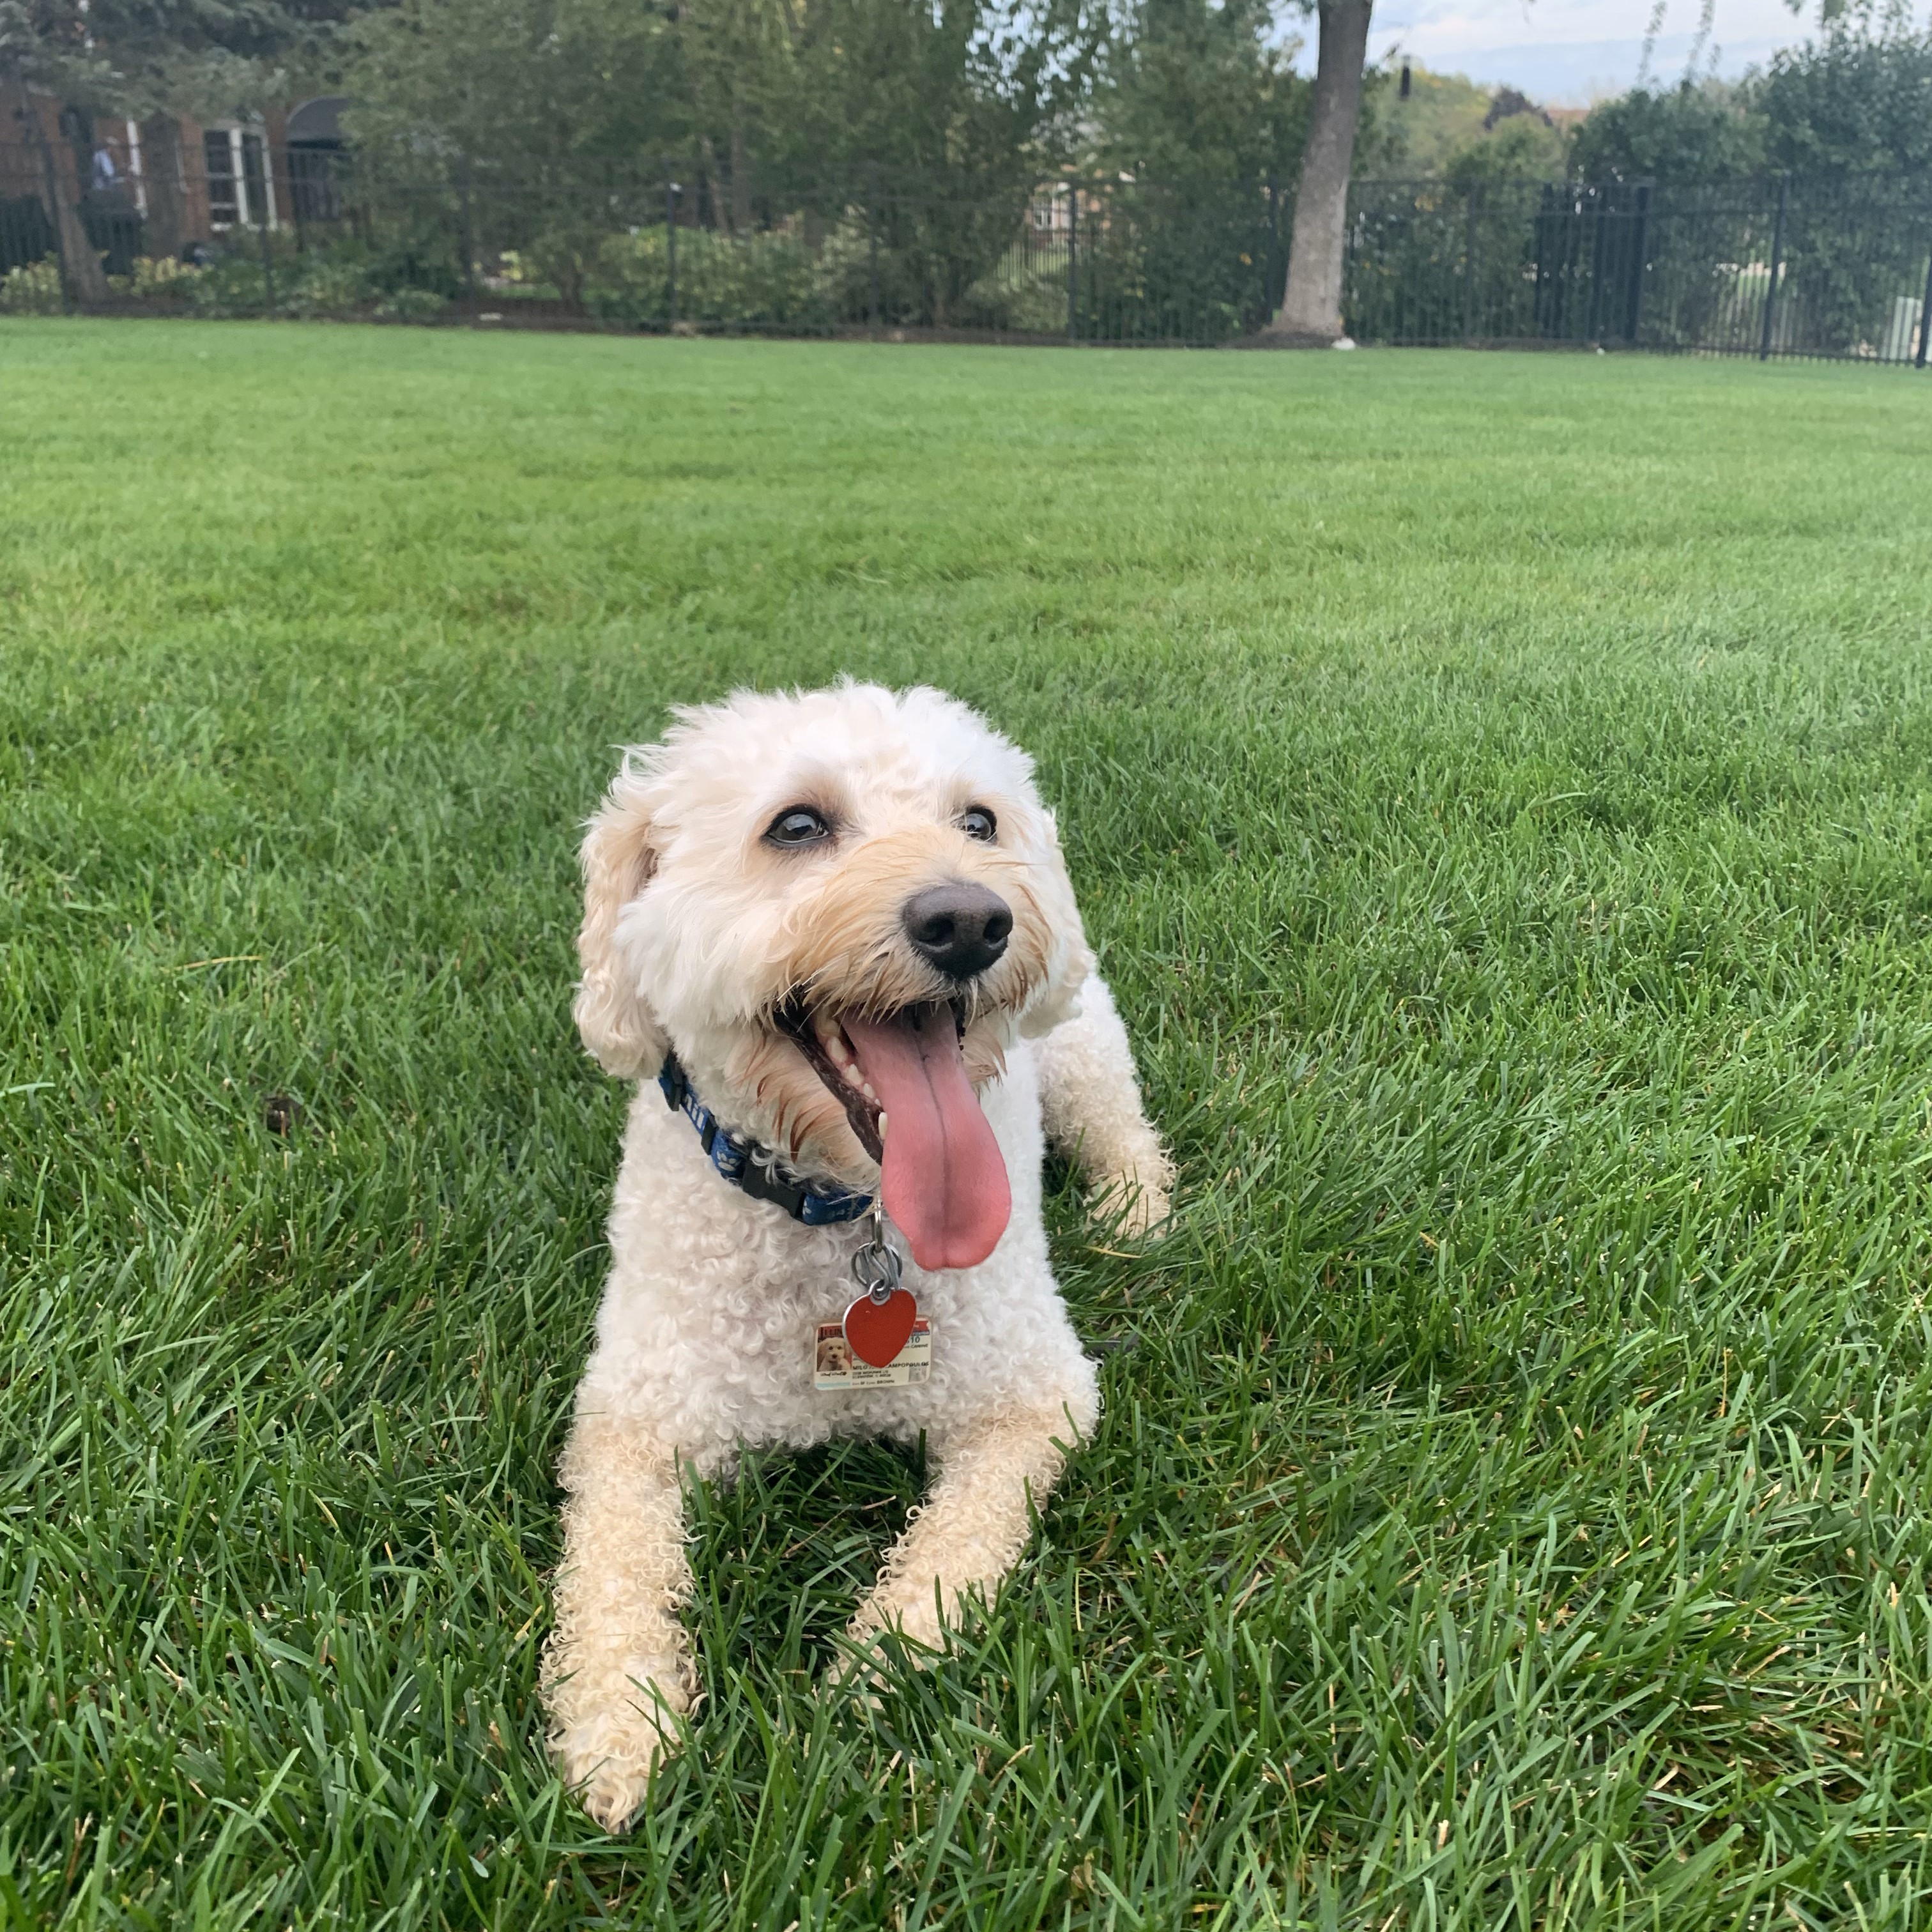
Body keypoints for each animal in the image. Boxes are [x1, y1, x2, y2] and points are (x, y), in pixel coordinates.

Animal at [537, 687, 1167, 1831]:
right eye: (796, 825)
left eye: (979, 820)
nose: (970, 922)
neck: (844, 1216)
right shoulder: (635, 1416)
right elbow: (611, 1572)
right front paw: (618, 1731)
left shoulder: (1034, 1397)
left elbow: (955, 1550)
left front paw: (876, 1668)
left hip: (1080, 1045)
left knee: (1126, 1129)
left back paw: (1135, 1210)